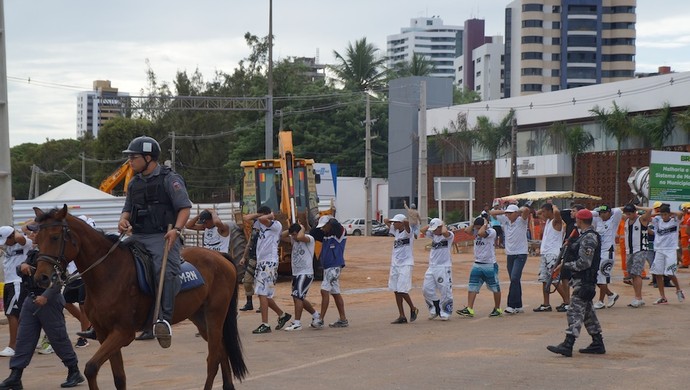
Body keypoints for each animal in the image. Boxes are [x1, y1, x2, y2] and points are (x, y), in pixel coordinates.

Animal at [33, 206, 247, 388]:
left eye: (54, 237)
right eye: (37, 239)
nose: (41, 277)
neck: (109, 272)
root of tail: (220, 257)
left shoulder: (122, 333)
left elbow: (91, 368)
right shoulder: (104, 334)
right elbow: (118, 377)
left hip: (214, 315)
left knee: (213, 359)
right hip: (200, 318)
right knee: (222, 351)